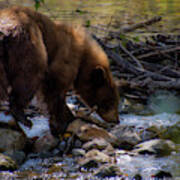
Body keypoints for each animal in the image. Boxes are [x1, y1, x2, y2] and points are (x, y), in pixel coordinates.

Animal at [0, 5, 119, 136]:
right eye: (110, 102)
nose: (117, 120)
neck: (83, 55)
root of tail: (6, 31)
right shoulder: (65, 56)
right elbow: (55, 88)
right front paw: (63, 121)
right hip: (29, 43)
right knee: (30, 75)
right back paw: (23, 117)